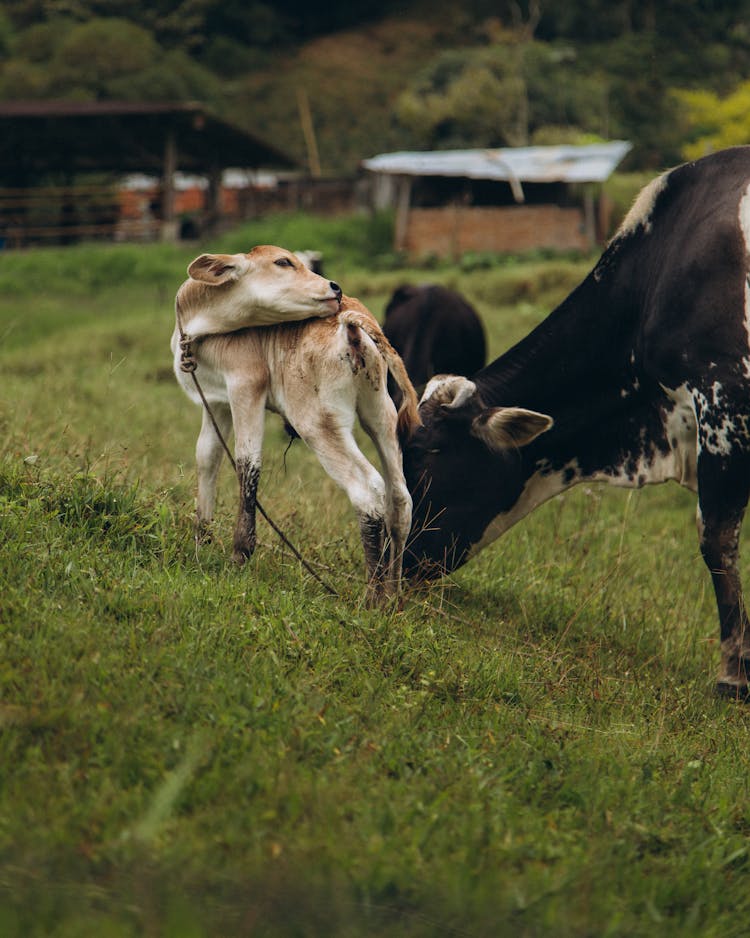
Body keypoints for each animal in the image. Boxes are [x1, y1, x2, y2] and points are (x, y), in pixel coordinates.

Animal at [172, 245, 424, 604]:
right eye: (283, 262)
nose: (335, 288)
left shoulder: (246, 386)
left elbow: (247, 463)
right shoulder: (216, 400)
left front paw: (239, 554)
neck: (197, 324)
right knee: (400, 500)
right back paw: (393, 595)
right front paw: (201, 539)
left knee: (368, 491)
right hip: (381, 412)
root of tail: (350, 323)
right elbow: (207, 457)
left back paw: (372, 600)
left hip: (317, 423)